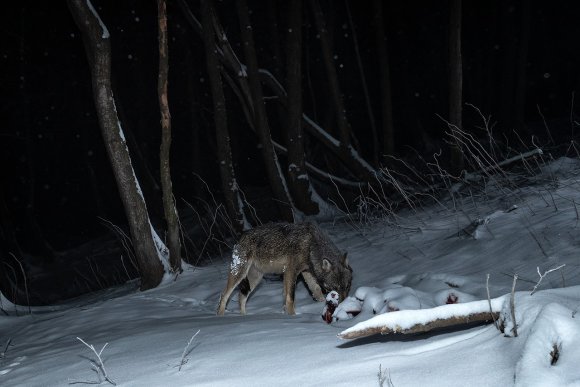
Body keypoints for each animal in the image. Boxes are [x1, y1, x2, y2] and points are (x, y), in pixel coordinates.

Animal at [218, 223, 352, 316]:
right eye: (334, 289)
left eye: (347, 287)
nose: (343, 304)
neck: (311, 245)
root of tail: (240, 238)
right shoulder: (291, 272)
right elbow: (290, 297)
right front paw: (293, 316)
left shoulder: (305, 272)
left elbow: (316, 291)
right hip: (240, 275)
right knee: (224, 295)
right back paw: (221, 317)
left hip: (255, 279)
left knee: (241, 297)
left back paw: (244, 317)